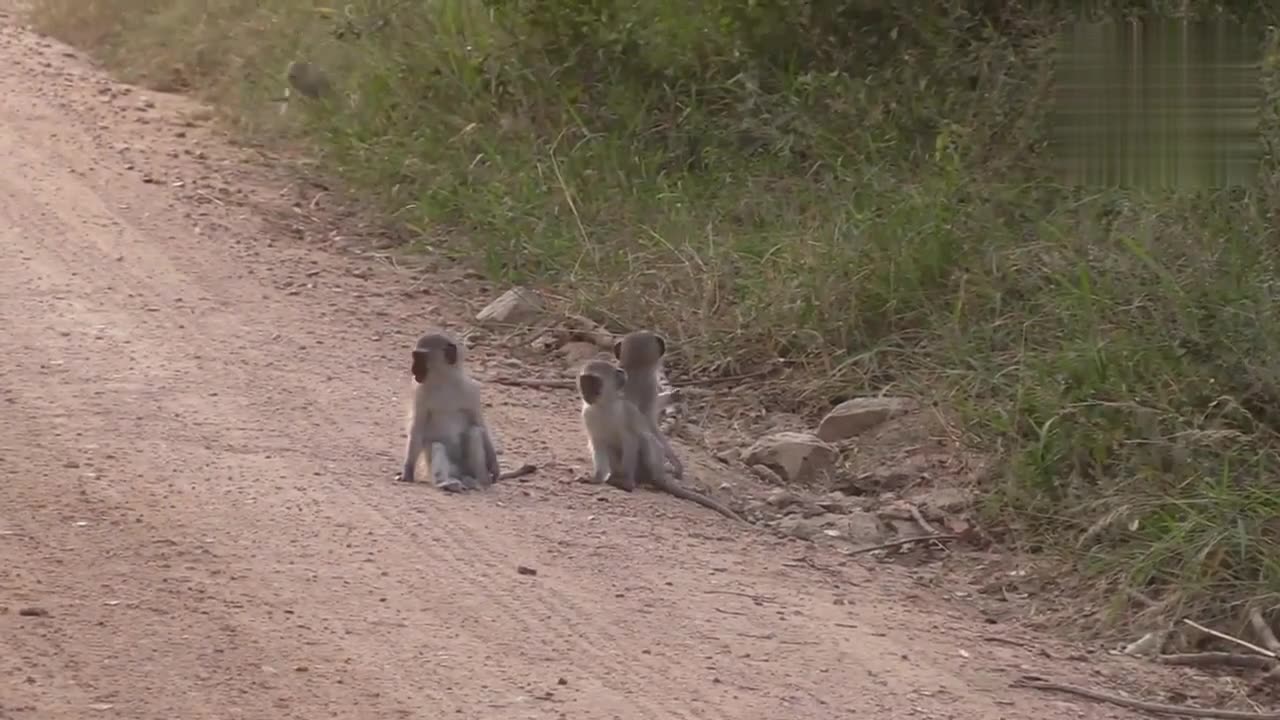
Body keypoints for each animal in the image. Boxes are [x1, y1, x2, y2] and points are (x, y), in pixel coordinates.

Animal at [396, 330, 532, 486]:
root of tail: (461, 475)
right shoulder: (419, 392)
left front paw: (494, 465)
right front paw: (407, 470)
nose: (413, 369)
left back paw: (480, 481)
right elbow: (417, 430)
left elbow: (479, 423)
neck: (444, 382)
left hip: (467, 467)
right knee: (437, 445)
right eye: (415, 356)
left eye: (420, 357)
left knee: (474, 432)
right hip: (450, 468)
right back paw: (447, 483)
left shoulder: (472, 390)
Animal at [578, 358, 747, 520]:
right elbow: (598, 444)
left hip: (649, 465)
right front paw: (596, 478)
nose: (586, 393)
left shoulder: (626, 414)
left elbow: (631, 441)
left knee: (645, 439)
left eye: (593, 382)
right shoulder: (588, 415)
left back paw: (648, 481)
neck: (603, 406)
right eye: (584, 382)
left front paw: (626, 482)